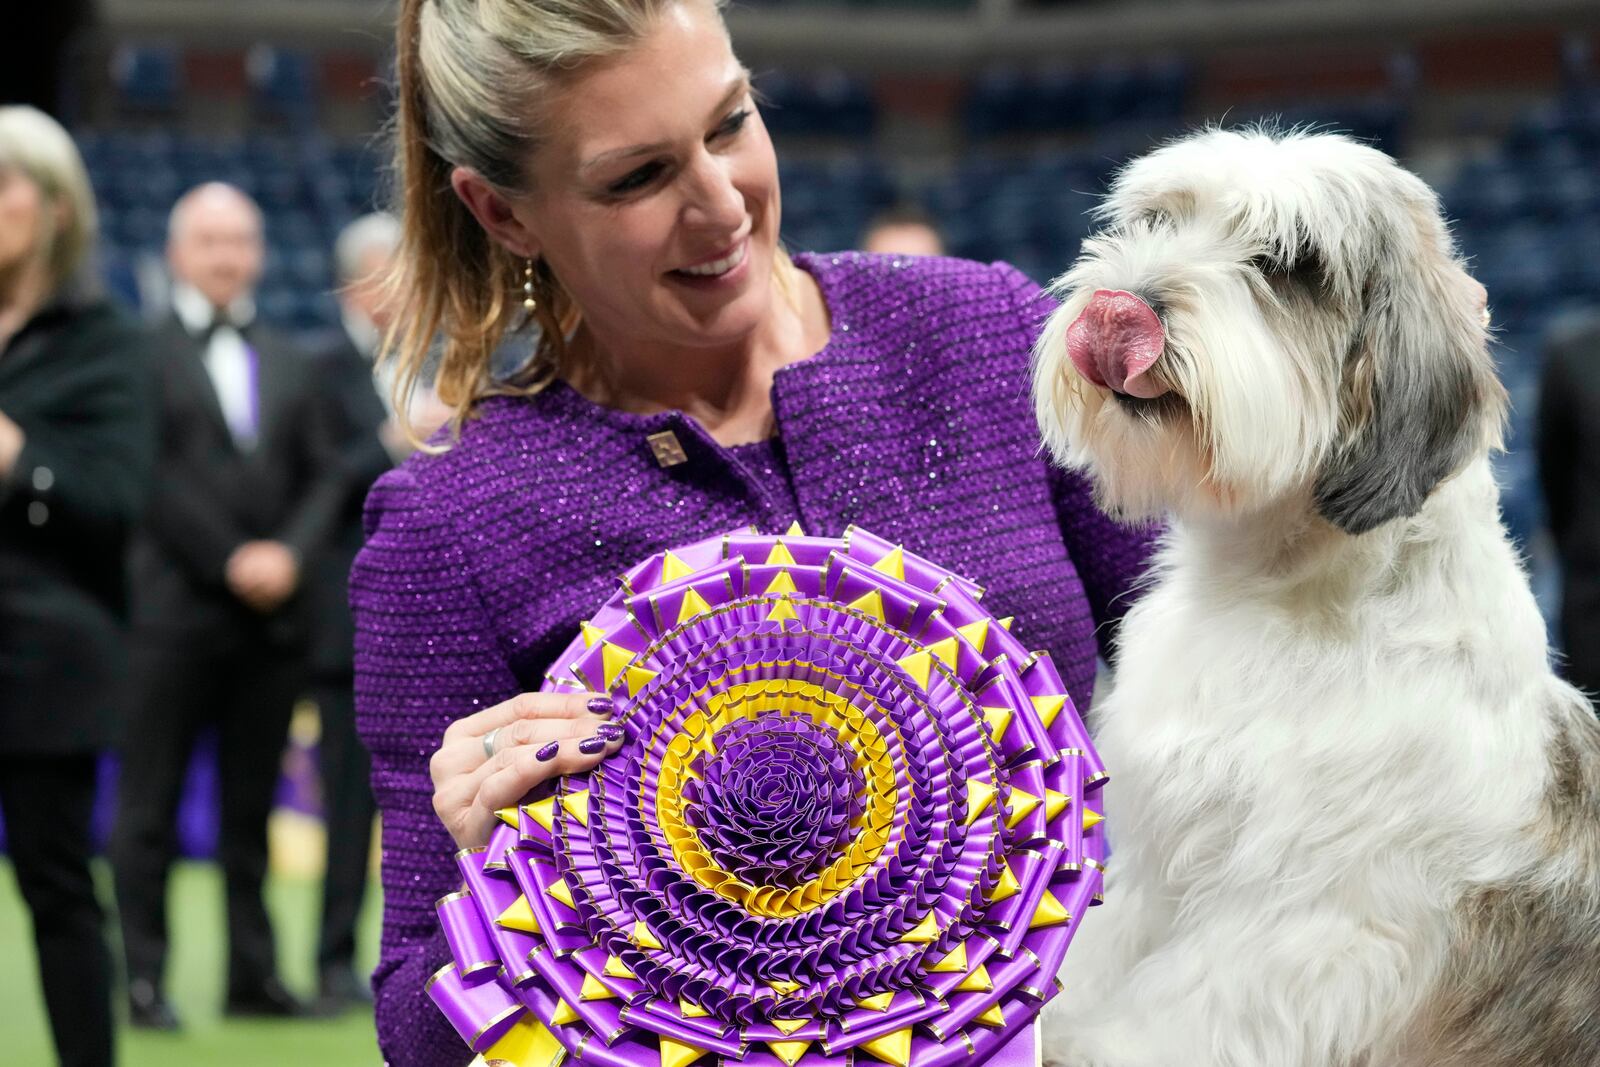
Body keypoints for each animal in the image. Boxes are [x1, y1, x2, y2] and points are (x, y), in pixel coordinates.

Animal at [1030, 127, 1600, 1067]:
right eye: (1155, 222)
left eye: (1288, 264)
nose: (1120, 309)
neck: (1279, 588)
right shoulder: (1157, 866)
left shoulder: (1306, 934)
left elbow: (1162, 1022)